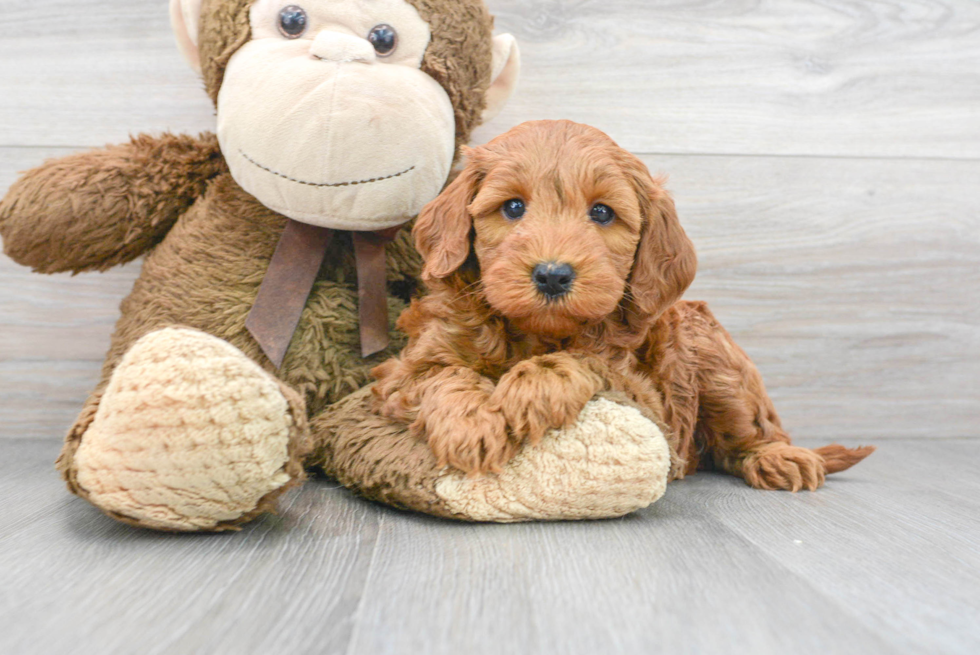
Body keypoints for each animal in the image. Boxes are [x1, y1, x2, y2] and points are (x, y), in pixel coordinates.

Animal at [374, 119, 872, 492]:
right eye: (513, 207)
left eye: (601, 213)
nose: (552, 274)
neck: (535, 332)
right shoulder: (403, 371)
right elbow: (442, 376)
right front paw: (472, 424)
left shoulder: (649, 399)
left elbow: (576, 359)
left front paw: (527, 390)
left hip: (715, 360)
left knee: (751, 432)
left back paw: (780, 458)